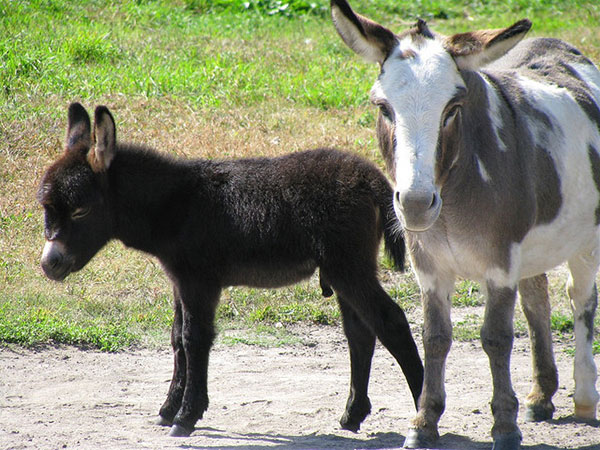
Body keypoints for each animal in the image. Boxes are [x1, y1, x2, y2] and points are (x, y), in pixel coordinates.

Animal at [37, 104, 424, 436]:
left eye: (81, 210)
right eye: (46, 208)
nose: (49, 264)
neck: (176, 204)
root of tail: (372, 178)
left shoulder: (199, 281)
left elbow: (195, 339)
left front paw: (186, 417)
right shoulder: (179, 280)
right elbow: (177, 338)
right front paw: (168, 410)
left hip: (348, 266)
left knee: (390, 322)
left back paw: (423, 413)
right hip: (344, 268)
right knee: (360, 333)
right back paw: (352, 415)